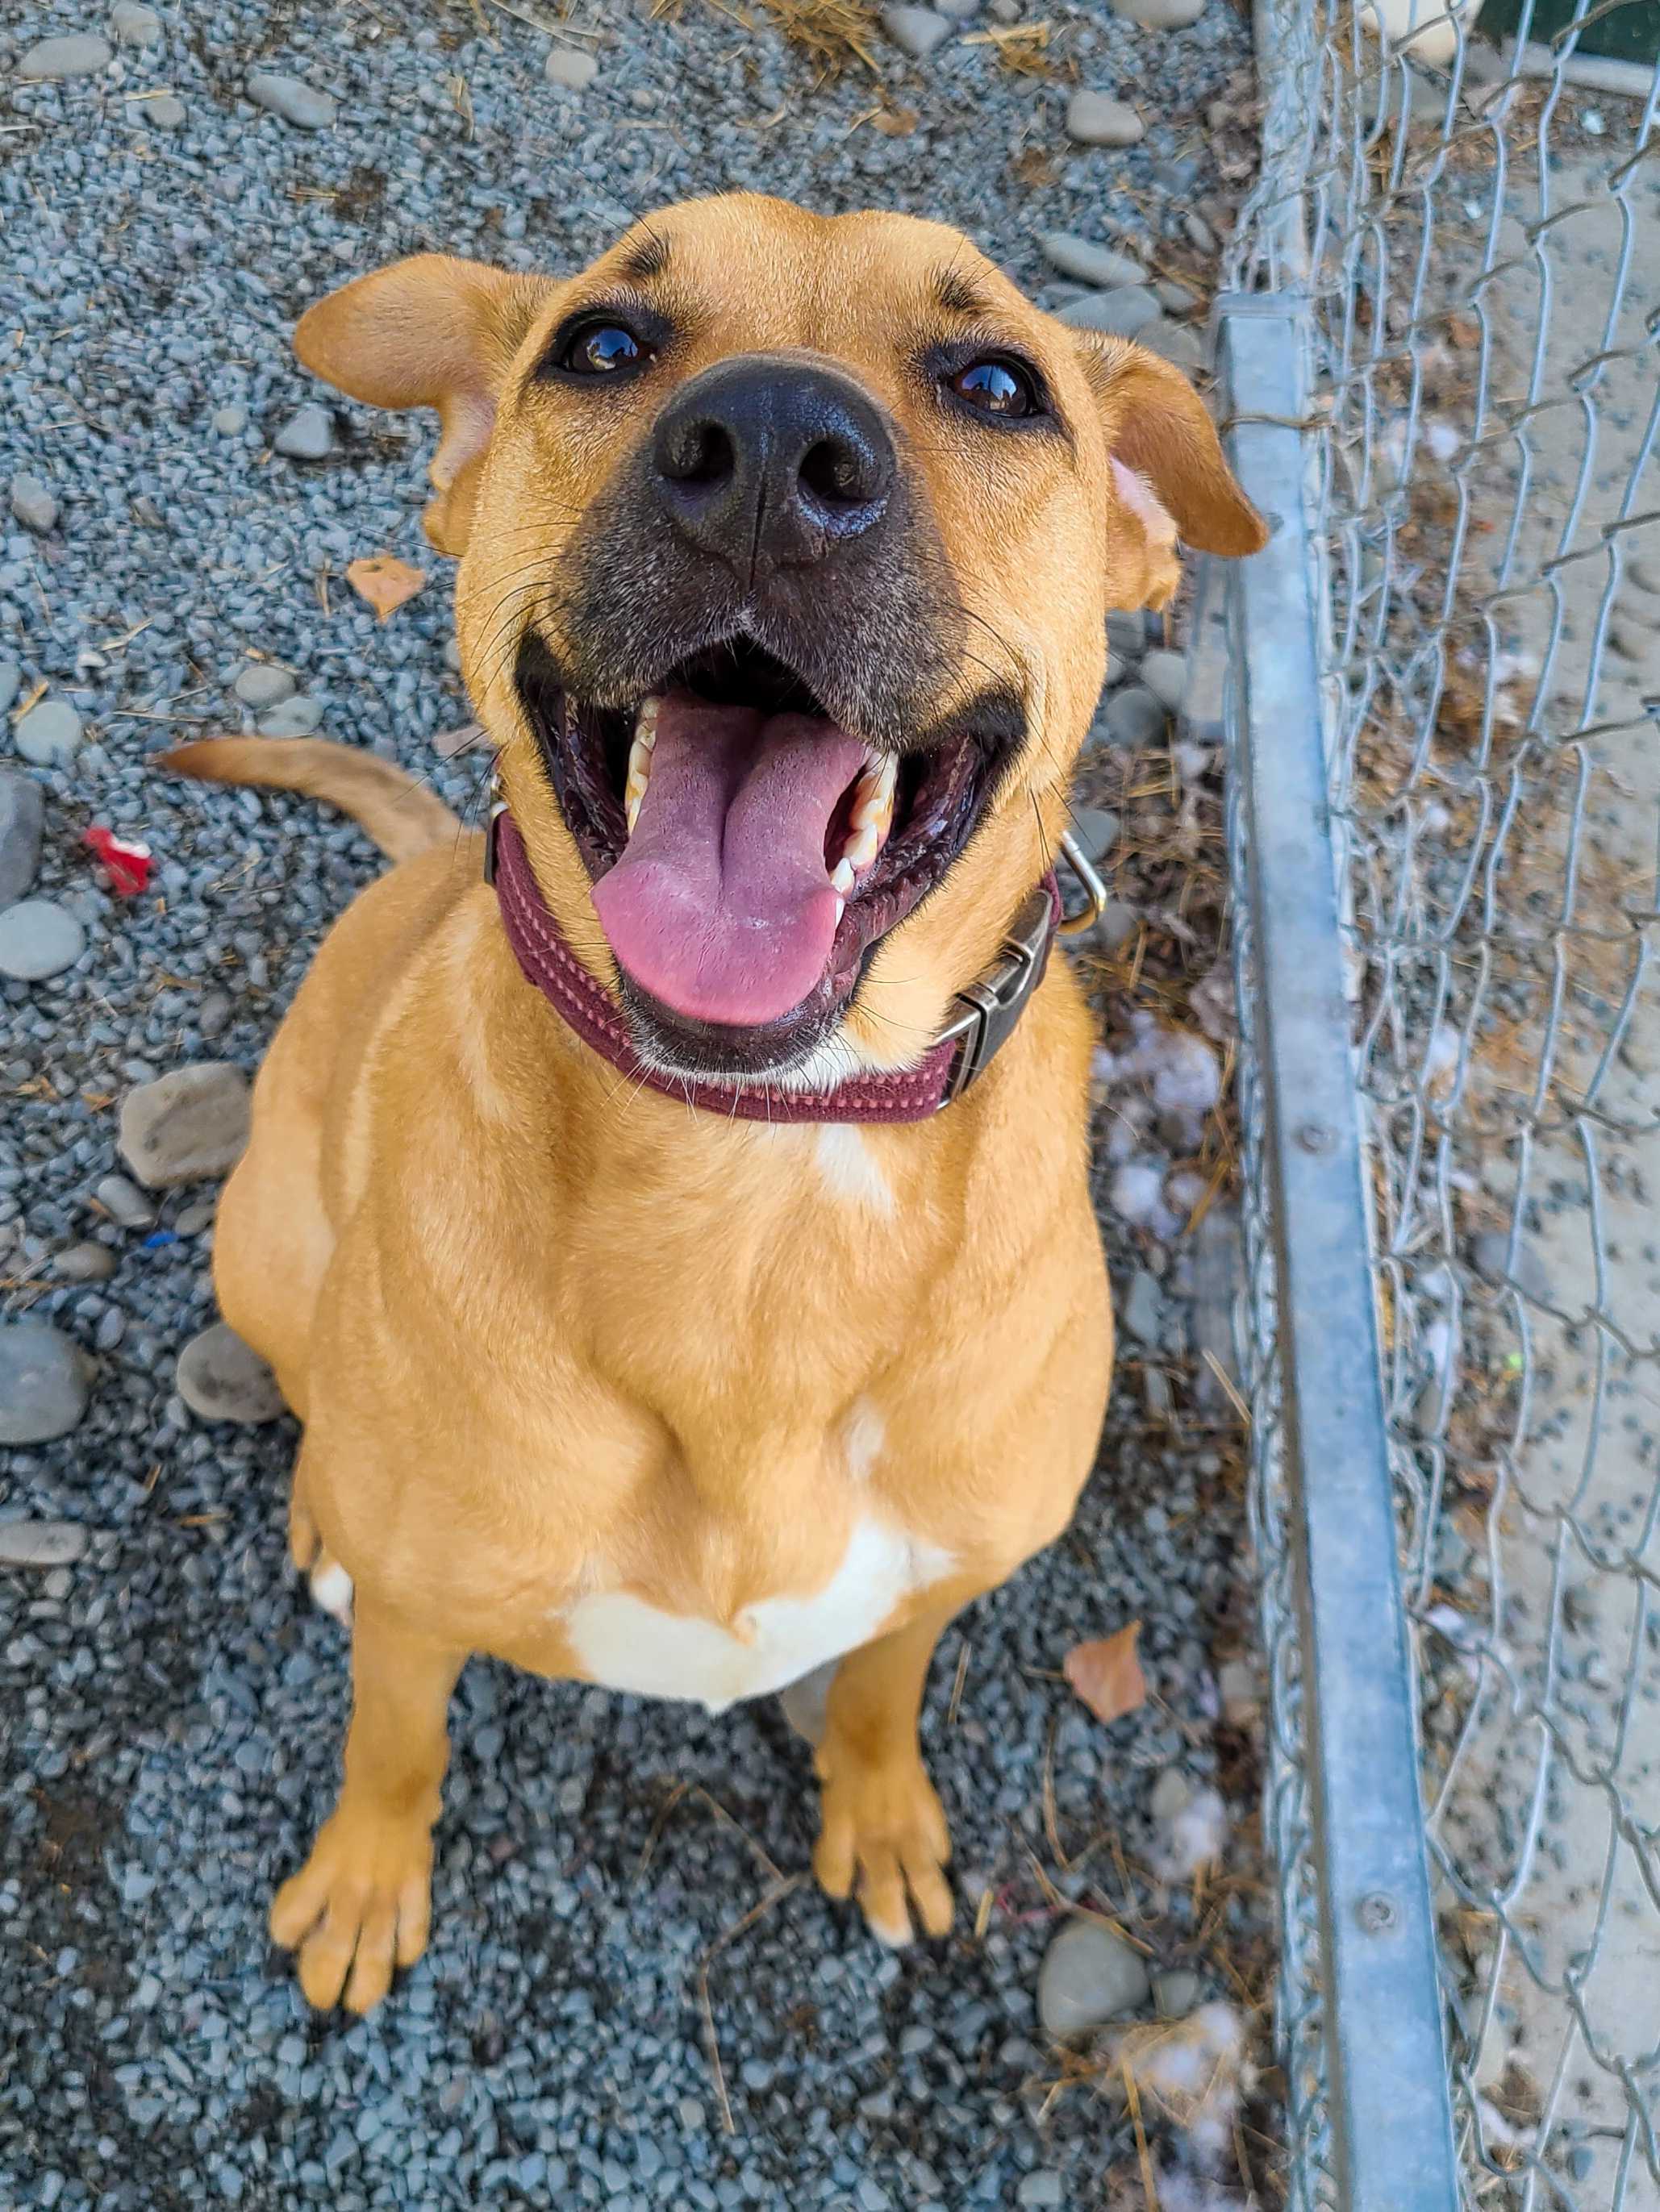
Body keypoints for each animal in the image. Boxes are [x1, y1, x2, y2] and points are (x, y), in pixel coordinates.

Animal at [165, 198, 1257, 2017]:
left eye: (998, 384)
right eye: (602, 345)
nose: (766, 452)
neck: (761, 1187)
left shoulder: (939, 1575)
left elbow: (883, 1683)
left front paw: (879, 1814)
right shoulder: (416, 1618)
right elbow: (395, 1741)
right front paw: (364, 1884)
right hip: (263, 1240)